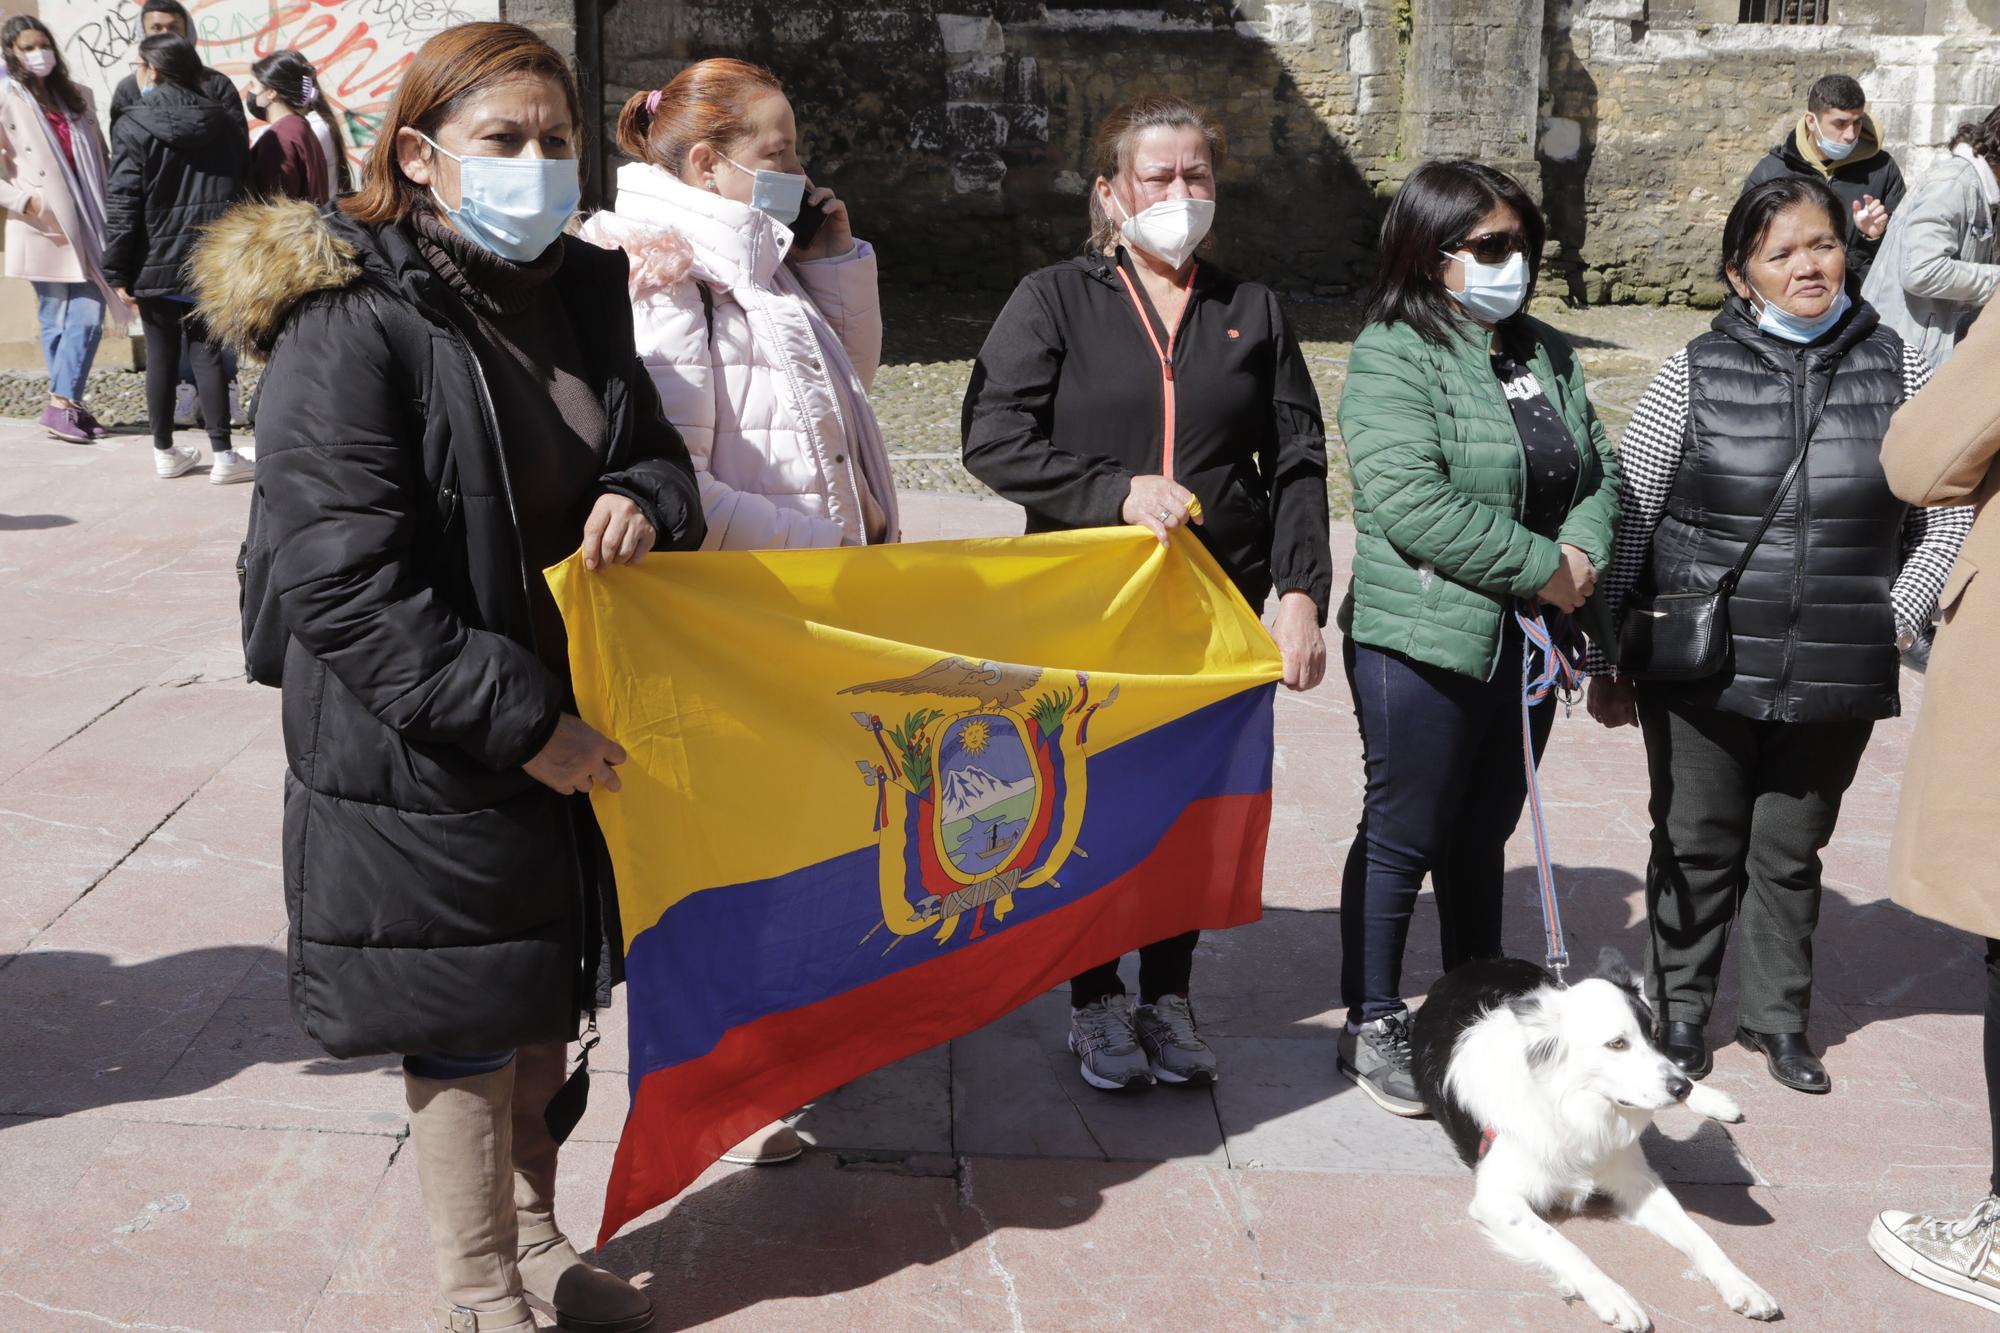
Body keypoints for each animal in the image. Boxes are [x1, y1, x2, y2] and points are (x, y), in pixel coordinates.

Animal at [1408, 948, 1784, 1320]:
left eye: (1656, 1034)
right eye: (1617, 1044)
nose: (1680, 1089)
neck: (1575, 1111)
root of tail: (1481, 962)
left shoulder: (1638, 1179)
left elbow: (1699, 1233)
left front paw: (1741, 1283)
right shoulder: (1497, 1199)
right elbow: (1565, 1246)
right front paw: (1612, 1295)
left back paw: (1715, 1100)